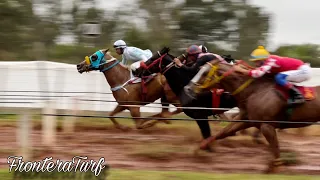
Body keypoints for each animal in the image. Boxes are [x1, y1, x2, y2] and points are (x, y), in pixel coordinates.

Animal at [182, 60, 320, 173]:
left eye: (205, 73)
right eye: (200, 70)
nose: (187, 88)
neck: (255, 91)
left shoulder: (267, 125)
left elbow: (275, 146)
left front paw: (276, 168)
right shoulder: (248, 120)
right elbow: (223, 132)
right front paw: (199, 148)